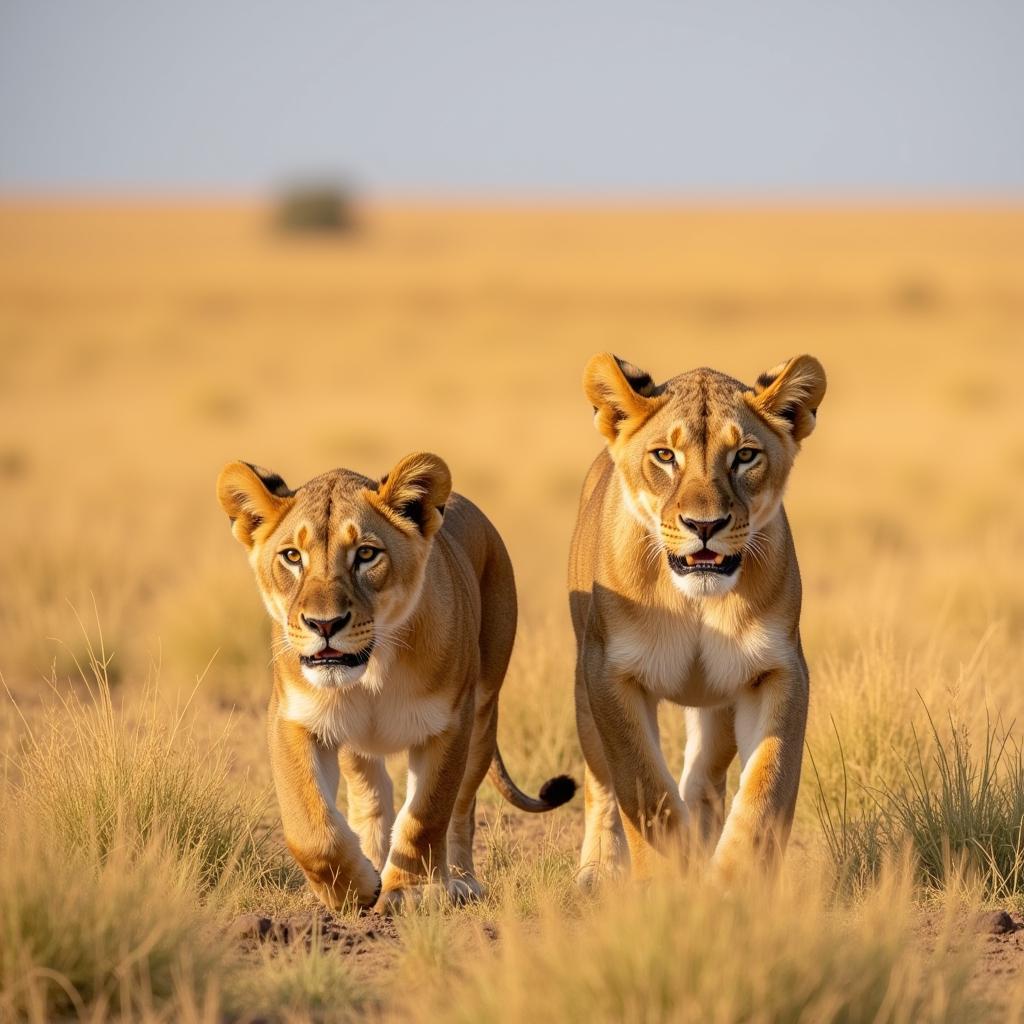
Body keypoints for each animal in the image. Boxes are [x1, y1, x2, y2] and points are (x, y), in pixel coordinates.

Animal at [216, 456, 577, 913]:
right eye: (292, 556)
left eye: (366, 554)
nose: (324, 625)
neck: (372, 671)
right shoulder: (294, 719)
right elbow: (309, 826)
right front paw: (353, 888)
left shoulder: (449, 723)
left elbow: (428, 813)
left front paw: (411, 891)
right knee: (370, 792)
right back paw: (372, 858)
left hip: (484, 712)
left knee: (462, 807)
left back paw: (461, 882)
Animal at [573, 356, 827, 884]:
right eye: (665, 455)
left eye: (745, 456)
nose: (704, 526)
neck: (695, 604)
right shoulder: (608, 671)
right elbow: (642, 783)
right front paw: (667, 876)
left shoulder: (777, 670)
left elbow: (766, 786)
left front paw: (736, 881)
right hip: (583, 690)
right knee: (600, 781)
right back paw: (598, 868)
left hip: (717, 700)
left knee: (703, 774)